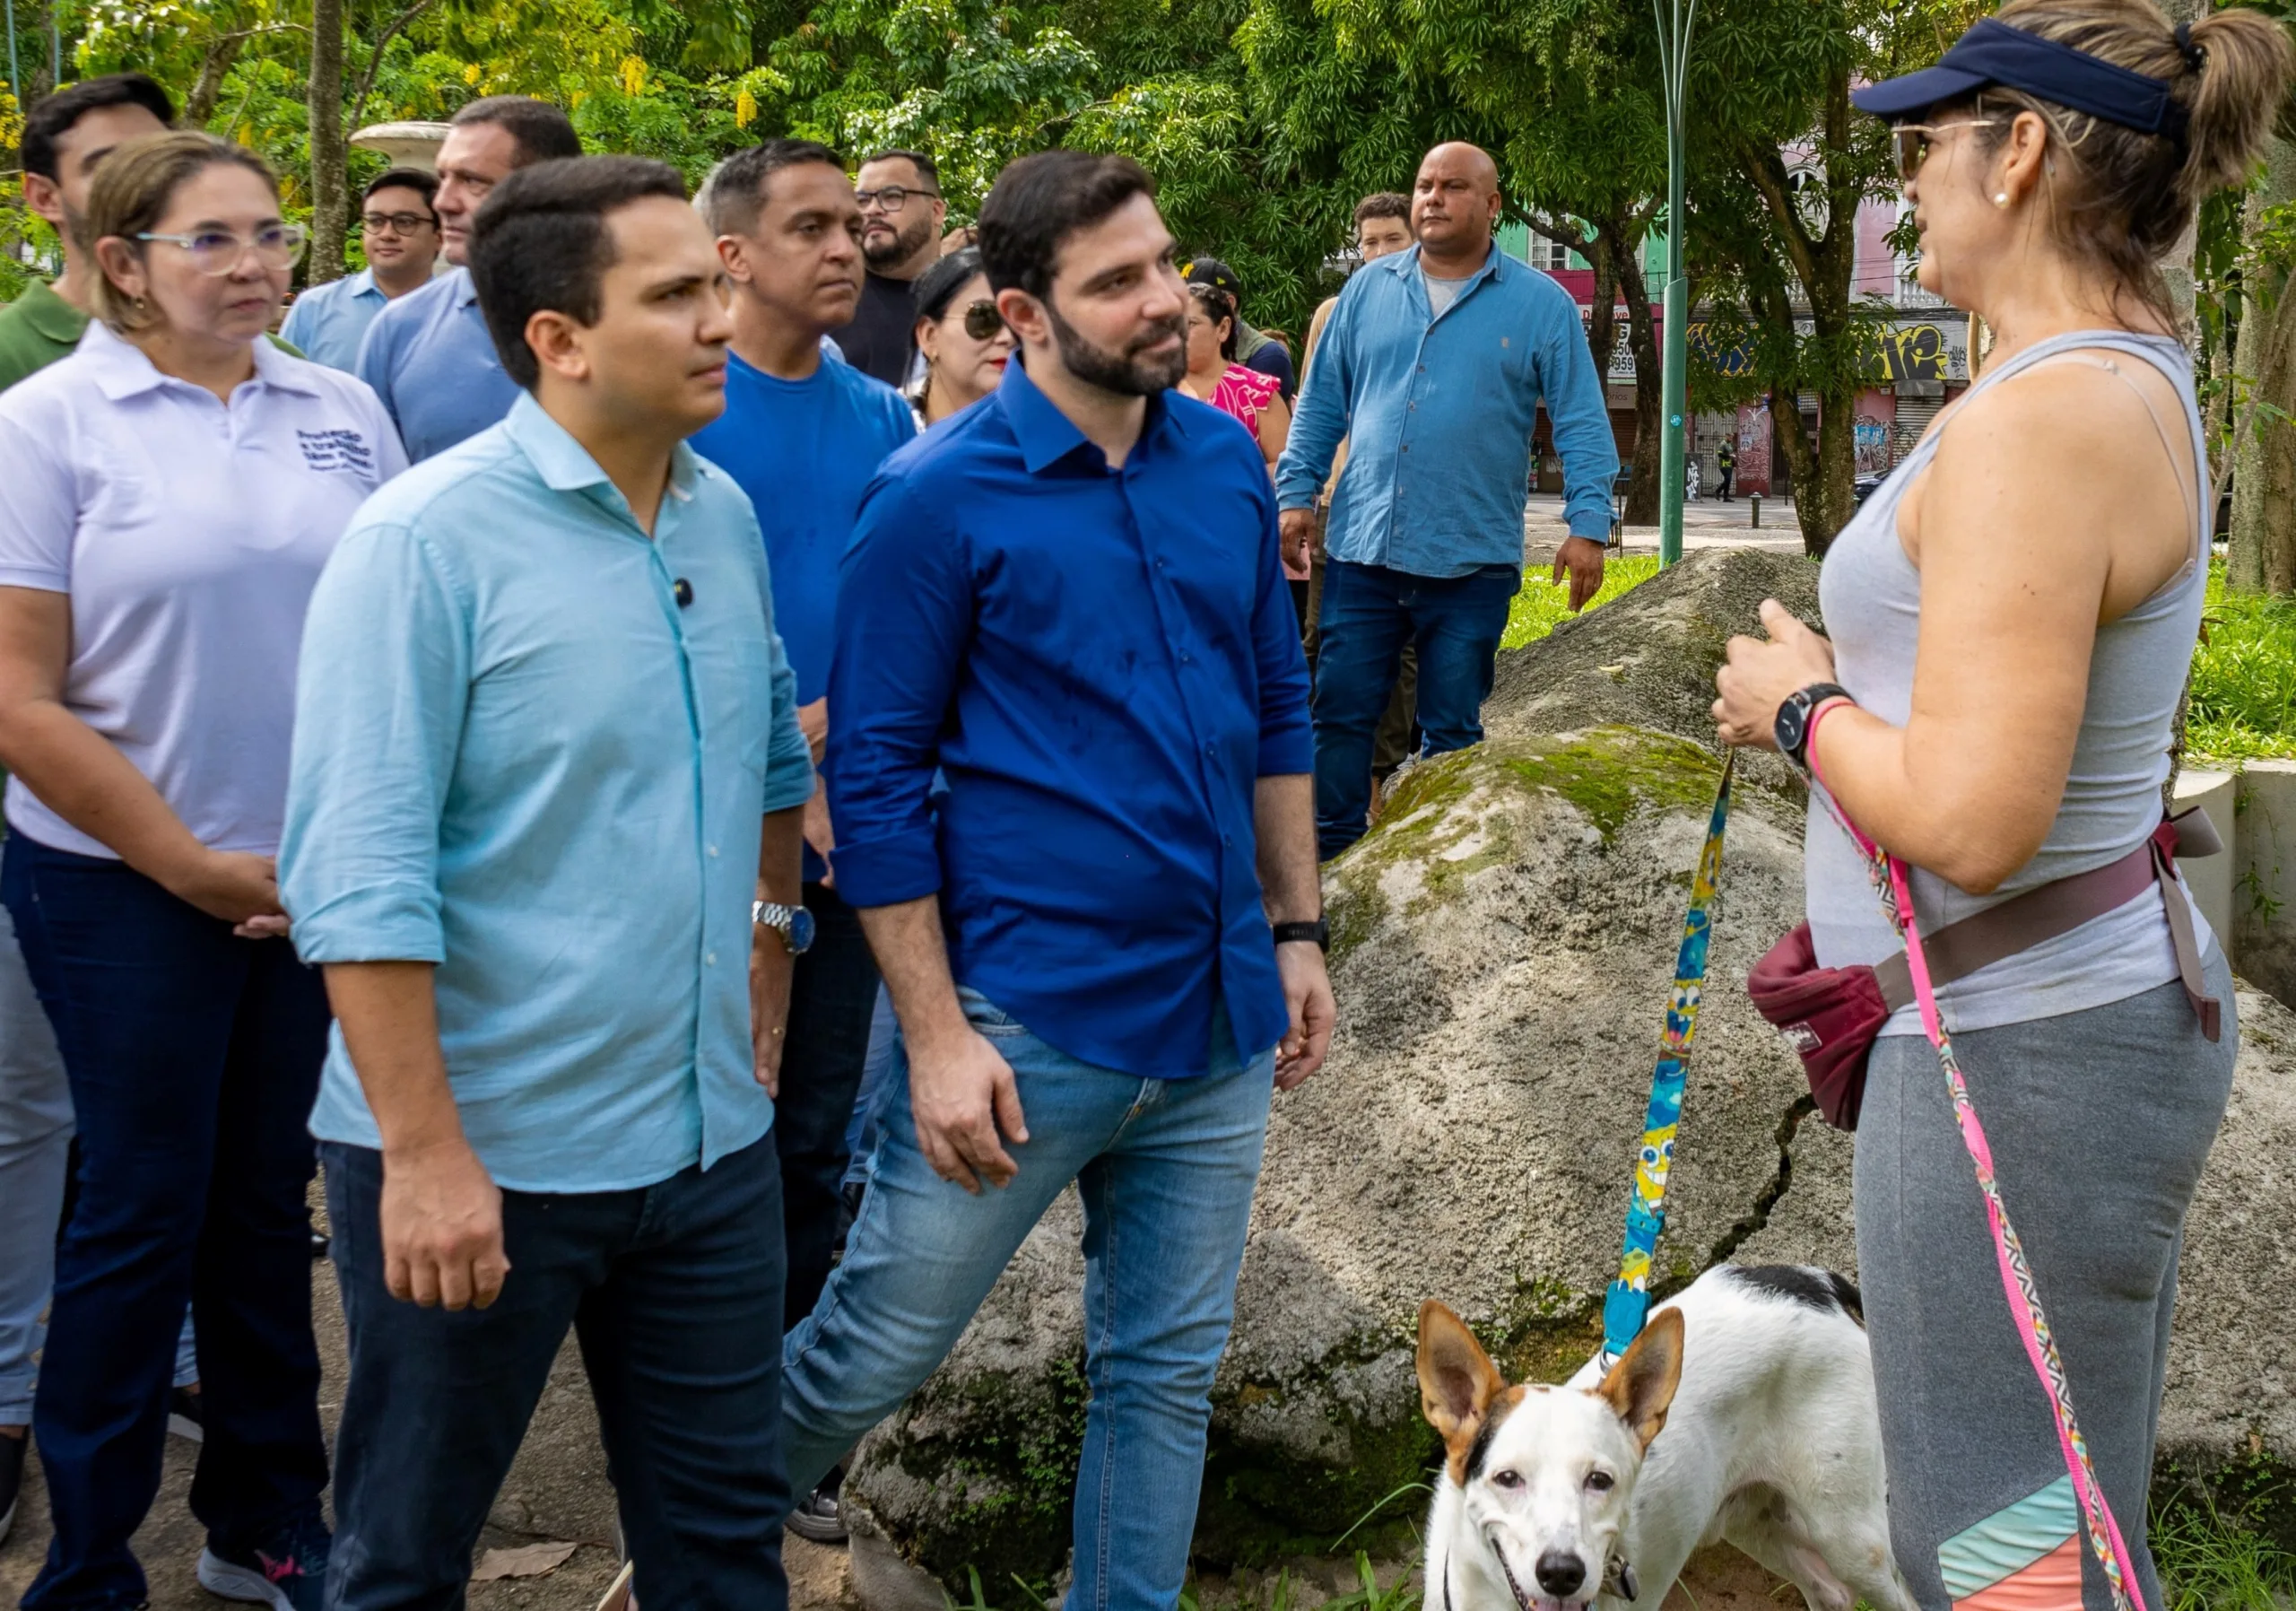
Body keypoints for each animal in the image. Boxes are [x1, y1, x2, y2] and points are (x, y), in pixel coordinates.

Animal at [1413, 1267, 1919, 1611]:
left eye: (1601, 1481)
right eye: (1508, 1478)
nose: (1562, 1572)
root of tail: (1815, 1282)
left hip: (1851, 1537)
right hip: (1756, 1522)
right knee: (1830, 1592)